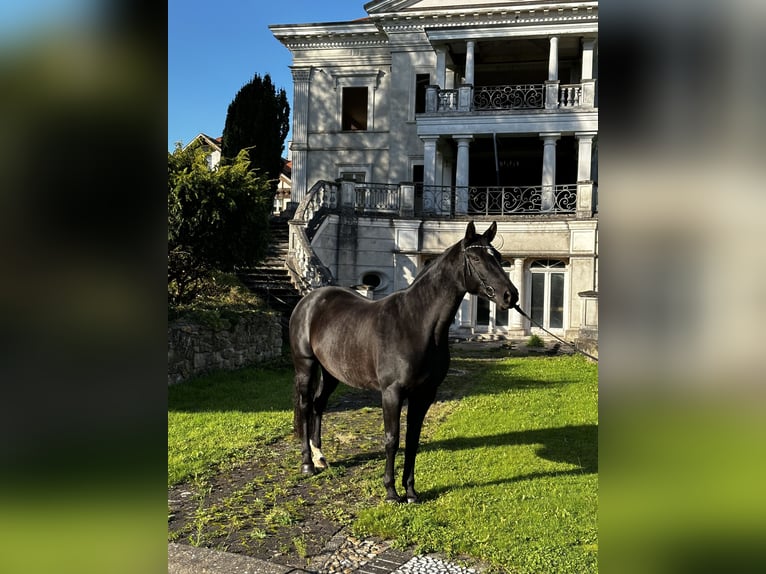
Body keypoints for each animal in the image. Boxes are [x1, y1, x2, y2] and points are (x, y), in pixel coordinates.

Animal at [292, 222, 520, 504]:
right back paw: (307, 464)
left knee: (318, 405)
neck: (415, 322)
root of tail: (309, 300)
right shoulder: (392, 392)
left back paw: (320, 457)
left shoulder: (425, 393)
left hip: (332, 372)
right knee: (305, 406)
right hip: (305, 367)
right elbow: (392, 439)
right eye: (476, 258)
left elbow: (413, 440)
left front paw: (411, 491)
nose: (510, 295)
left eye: (497, 257)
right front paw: (391, 492)